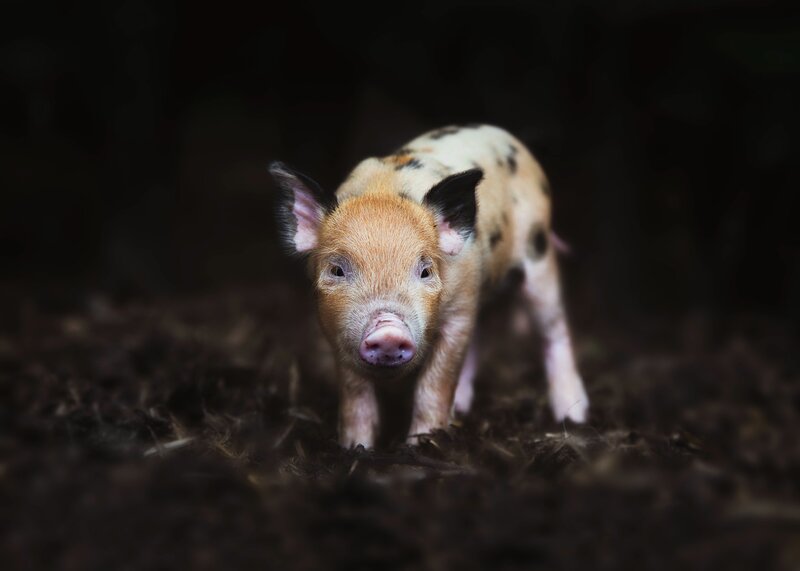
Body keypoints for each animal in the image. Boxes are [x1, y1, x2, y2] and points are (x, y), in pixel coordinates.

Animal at [269, 124, 588, 448]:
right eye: (337, 270)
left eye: (425, 271)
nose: (388, 331)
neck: (383, 191)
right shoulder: (334, 328)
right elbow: (355, 393)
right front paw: (356, 447)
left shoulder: (459, 311)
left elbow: (435, 383)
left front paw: (419, 444)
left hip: (538, 257)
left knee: (554, 329)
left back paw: (573, 413)